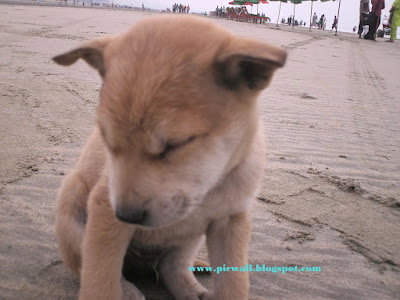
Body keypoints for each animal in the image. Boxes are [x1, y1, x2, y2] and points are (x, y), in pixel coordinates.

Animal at [53, 15, 286, 298]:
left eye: (175, 145)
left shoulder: (231, 220)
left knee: (172, 267)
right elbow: (100, 280)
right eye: (108, 141)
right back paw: (129, 291)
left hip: (188, 241)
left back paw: (194, 287)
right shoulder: (104, 208)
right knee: (92, 267)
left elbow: (235, 283)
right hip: (72, 197)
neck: (207, 190)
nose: (127, 216)